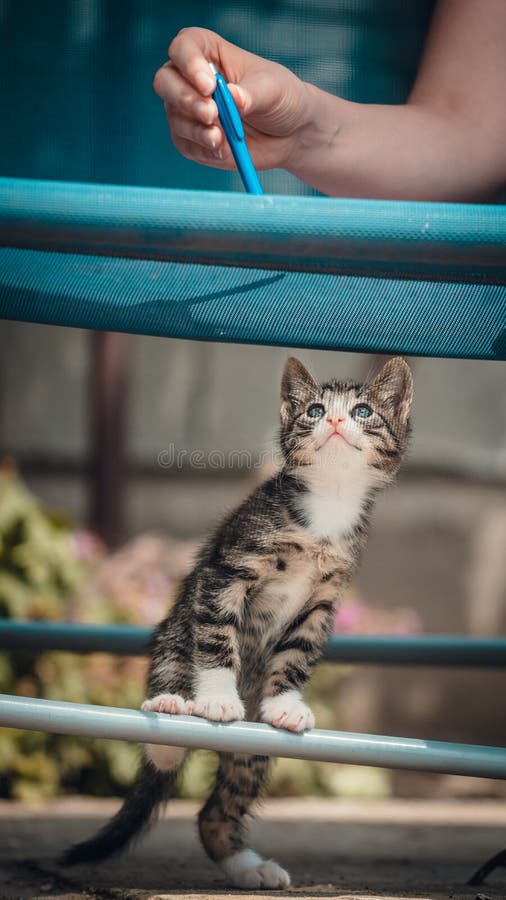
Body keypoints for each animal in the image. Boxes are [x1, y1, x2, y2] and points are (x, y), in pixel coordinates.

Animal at [62, 356, 412, 888]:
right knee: (165, 746)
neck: (325, 508)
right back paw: (173, 711)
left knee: (214, 812)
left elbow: (296, 655)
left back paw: (247, 866)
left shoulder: (322, 602)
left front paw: (286, 704)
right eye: (314, 410)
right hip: (172, 639)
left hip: (251, 752)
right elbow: (218, 637)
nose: (333, 420)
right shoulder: (226, 571)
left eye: (363, 411)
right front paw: (218, 699)